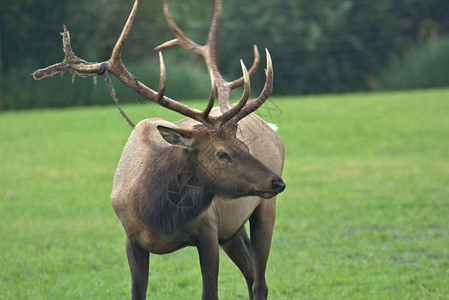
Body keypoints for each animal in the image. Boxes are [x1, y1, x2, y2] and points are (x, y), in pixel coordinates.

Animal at [31, 1, 286, 298]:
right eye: (222, 153)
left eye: (244, 145)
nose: (278, 182)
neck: (156, 213)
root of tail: (273, 129)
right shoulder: (131, 238)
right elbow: (137, 292)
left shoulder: (209, 230)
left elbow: (210, 291)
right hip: (233, 228)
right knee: (250, 273)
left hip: (263, 208)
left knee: (259, 281)